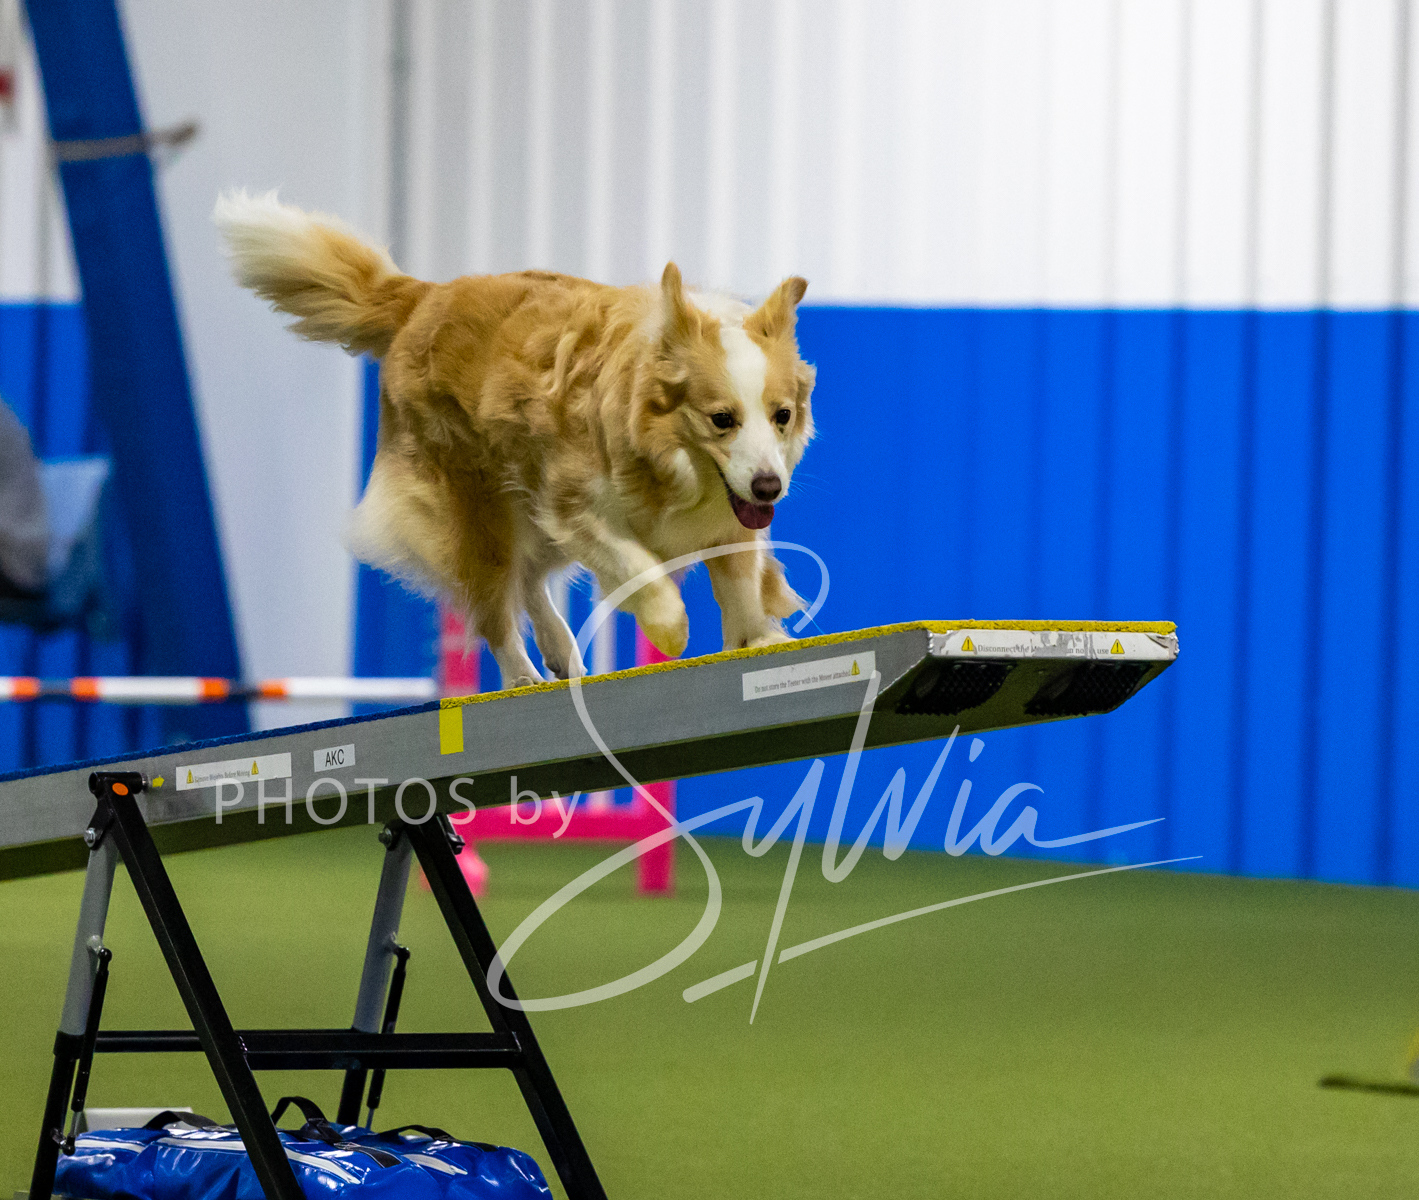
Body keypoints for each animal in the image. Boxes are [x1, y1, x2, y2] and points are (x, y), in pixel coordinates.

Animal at [214, 191, 815, 688]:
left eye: (782, 416)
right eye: (722, 419)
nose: (769, 488)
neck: (672, 461)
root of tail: (424, 296)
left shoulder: (724, 522)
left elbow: (742, 582)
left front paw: (756, 638)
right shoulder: (574, 505)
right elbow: (638, 568)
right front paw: (671, 628)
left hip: (526, 499)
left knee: (526, 577)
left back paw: (559, 649)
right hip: (477, 505)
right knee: (494, 597)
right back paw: (522, 675)